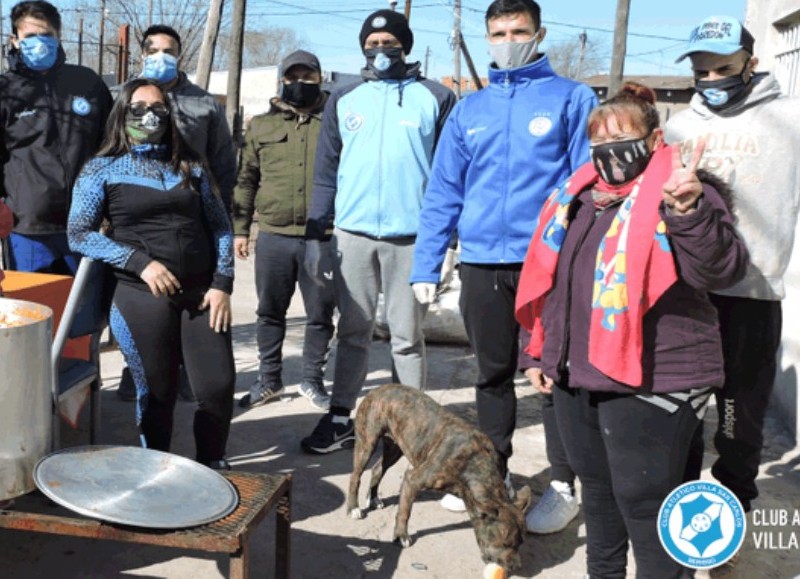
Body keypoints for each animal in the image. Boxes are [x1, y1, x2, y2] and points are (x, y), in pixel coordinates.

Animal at [346, 386, 528, 572]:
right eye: (505, 543)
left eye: (521, 542)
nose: (517, 566)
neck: (475, 463)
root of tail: (378, 389)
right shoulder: (412, 480)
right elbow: (404, 512)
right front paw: (401, 536)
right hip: (367, 444)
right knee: (355, 477)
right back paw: (353, 508)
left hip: (395, 448)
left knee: (377, 469)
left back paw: (374, 497)